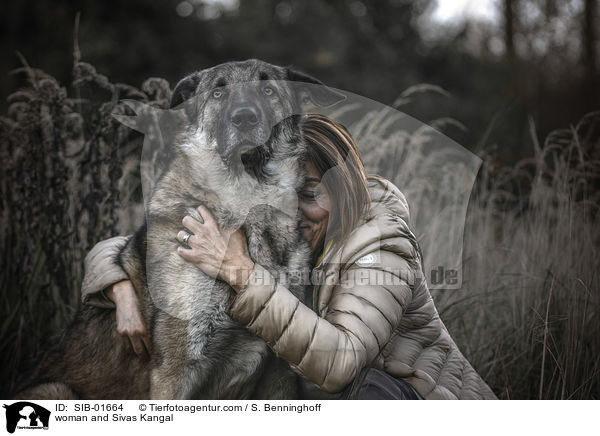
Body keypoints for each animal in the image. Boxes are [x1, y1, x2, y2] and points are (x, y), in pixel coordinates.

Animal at [14, 59, 342, 400]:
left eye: (268, 89)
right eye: (218, 93)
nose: (244, 118)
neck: (248, 201)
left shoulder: (278, 372)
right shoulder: (174, 369)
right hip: (56, 389)